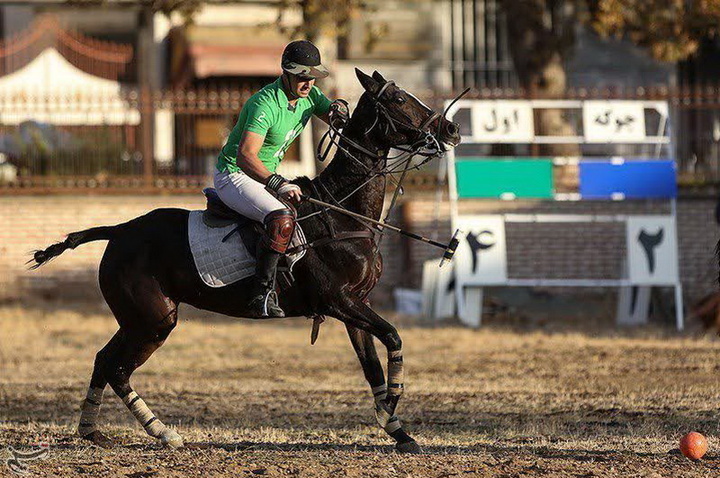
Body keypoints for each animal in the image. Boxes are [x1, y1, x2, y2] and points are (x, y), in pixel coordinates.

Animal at [32, 69, 462, 454]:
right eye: (399, 99)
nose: (452, 129)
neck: (342, 212)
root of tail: (119, 230)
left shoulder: (357, 306)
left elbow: (372, 364)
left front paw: (398, 430)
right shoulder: (340, 302)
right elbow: (393, 336)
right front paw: (393, 403)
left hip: (137, 318)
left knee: (103, 360)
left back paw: (91, 430)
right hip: (153, 320)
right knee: (119, 370)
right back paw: (163, 433)